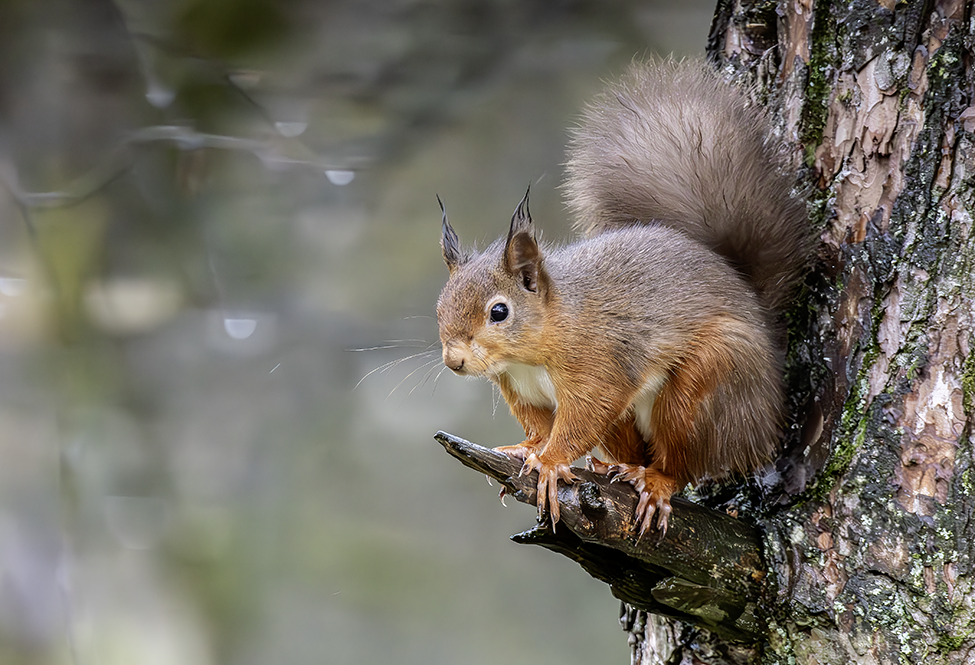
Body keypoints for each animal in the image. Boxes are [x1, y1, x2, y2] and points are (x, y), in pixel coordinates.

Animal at [435, 58, 810, 536]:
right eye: (439, 308)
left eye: (498, 312)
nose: (454, 362)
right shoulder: (524, 392)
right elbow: (540, 426)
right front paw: (527, 449)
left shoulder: (599, 368)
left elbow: (581, 420)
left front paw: (552, 462)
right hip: (633, 420)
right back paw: (614, 468)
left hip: (706, 383)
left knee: (682, 463)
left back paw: (654, 482)